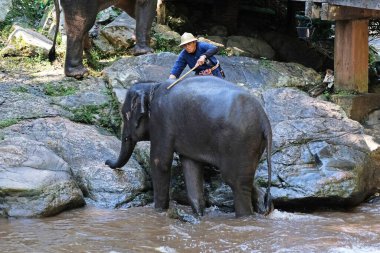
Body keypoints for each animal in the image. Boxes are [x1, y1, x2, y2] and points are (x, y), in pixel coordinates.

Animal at [105, 76, 274, 216]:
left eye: (125, 115)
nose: (107, 162)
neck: (153, 86)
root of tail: (265, 120)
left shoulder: (161, 120)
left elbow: (160, 163)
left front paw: (159, 212)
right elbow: (191, 166)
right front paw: (199, 215)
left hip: (239, 141)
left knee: (235, 181)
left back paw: (245, 217)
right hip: (253, 144)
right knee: (245, 177)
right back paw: (265, 208)